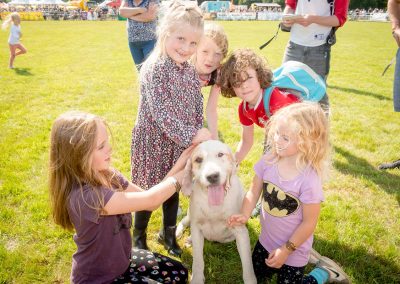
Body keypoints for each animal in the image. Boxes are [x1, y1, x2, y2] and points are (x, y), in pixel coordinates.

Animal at [177, 140, 258, 284]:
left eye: (220, 154)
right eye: (198, 159)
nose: (212, 176)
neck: (214, 205)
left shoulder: (240, 231)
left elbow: (247, 265)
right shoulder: (196, 226)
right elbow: (198, 260)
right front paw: (197, 278)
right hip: (190, 217)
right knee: (184, 222)